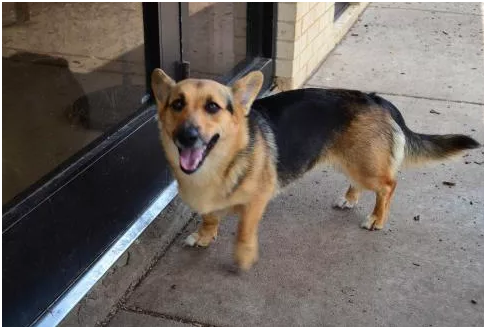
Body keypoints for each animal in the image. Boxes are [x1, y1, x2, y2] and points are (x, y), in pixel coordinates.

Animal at [151, 68, 478, 270]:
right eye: (177, 104)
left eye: (213, 107)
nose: (187, 136)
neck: (218, 163)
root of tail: (376, 98)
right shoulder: (208, 204)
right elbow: (209, 218)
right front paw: (205, 236)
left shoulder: (257, 200)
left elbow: (244, 231)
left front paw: (243, 256)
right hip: (350, 161)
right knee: (362, 184)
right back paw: (349, 199)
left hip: (364, 166)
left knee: (388, 186)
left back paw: (377, 218)